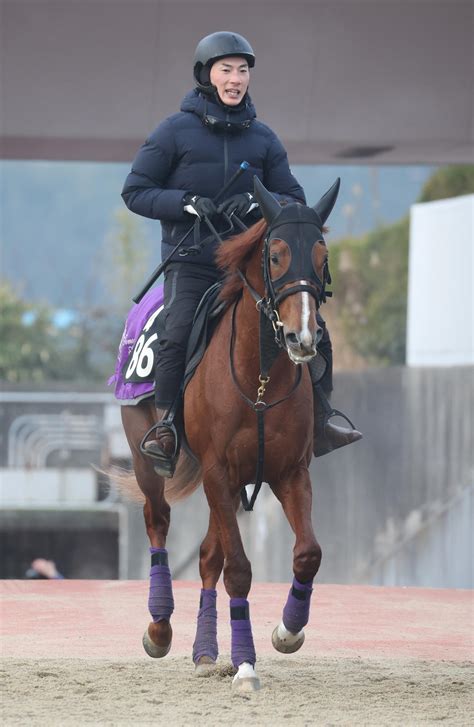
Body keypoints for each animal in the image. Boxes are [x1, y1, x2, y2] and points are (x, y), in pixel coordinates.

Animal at [118, 176, 340, 692]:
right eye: (275, 254)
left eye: (322, 255)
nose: (303, 337)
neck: (259, 377)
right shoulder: (218, 471)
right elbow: (238, 569)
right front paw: (245, 665)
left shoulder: (288, 471)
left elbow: (308, 553)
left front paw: (287, 631)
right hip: (147, 457)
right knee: (158, 522)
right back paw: (160, 628)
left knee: (205, 556)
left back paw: (204, 652)